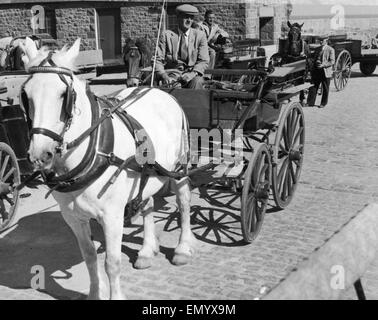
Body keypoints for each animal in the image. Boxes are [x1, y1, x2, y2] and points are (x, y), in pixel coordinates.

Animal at [22, 38, 196, 300]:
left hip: (179, 166)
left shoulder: (112, 216)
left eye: (64, 95)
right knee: (147, 202)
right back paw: (146, 250)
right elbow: (89, 258)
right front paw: (95, 293)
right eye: (26, 95)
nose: (40, 155)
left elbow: (111, 262)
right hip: (145, 172)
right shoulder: (73, 218)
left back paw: (183, 248)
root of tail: (158, 89)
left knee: (184, 202)